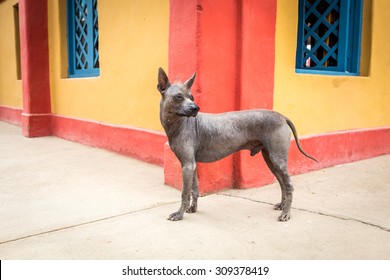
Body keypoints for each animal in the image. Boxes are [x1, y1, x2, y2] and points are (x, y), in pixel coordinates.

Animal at [156, 67, 316, 221]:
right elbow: (194, 189)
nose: (196, 108)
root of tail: (282, 116)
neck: (178, 124)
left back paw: (286, 213)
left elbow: (184, 193)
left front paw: (179, 214)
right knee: (282, 183)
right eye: (178, 97)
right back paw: (282, 205)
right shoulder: (191, 165)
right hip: (270, 159)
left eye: (192, 97)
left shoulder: (187, 165)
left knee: (289, 185)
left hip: (278, 159)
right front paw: (193, 209)